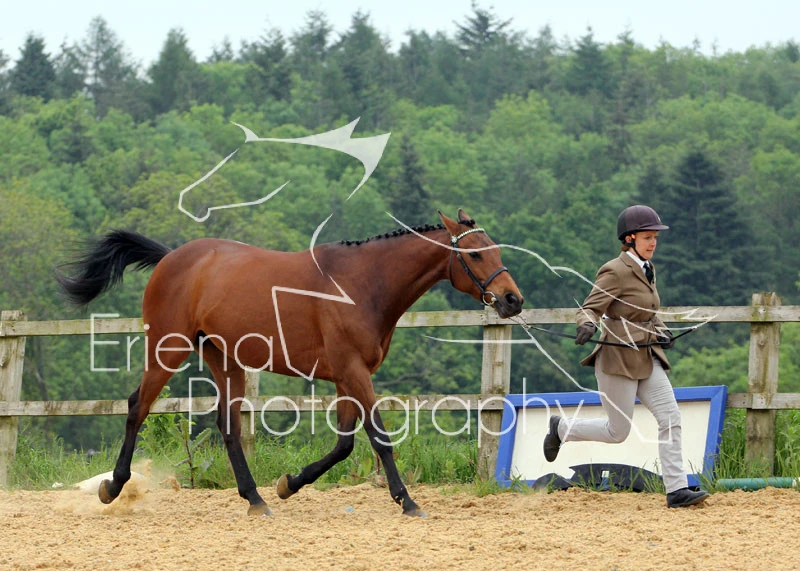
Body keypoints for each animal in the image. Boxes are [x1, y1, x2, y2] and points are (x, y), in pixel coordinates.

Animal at [57, 209, 524, 516]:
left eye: (497, 250)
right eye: (476, 255)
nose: (512, 299)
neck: (362, 283)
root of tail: (173, 258)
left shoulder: (347, 377)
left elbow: (344, 444)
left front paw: (288, 485)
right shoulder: (353, 373)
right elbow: (379, 437)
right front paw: (407, 501)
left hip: (224, 360)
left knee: (228, 425)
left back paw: (257, 500)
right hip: (167, 350)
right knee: (138, 406)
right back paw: (113, 486)